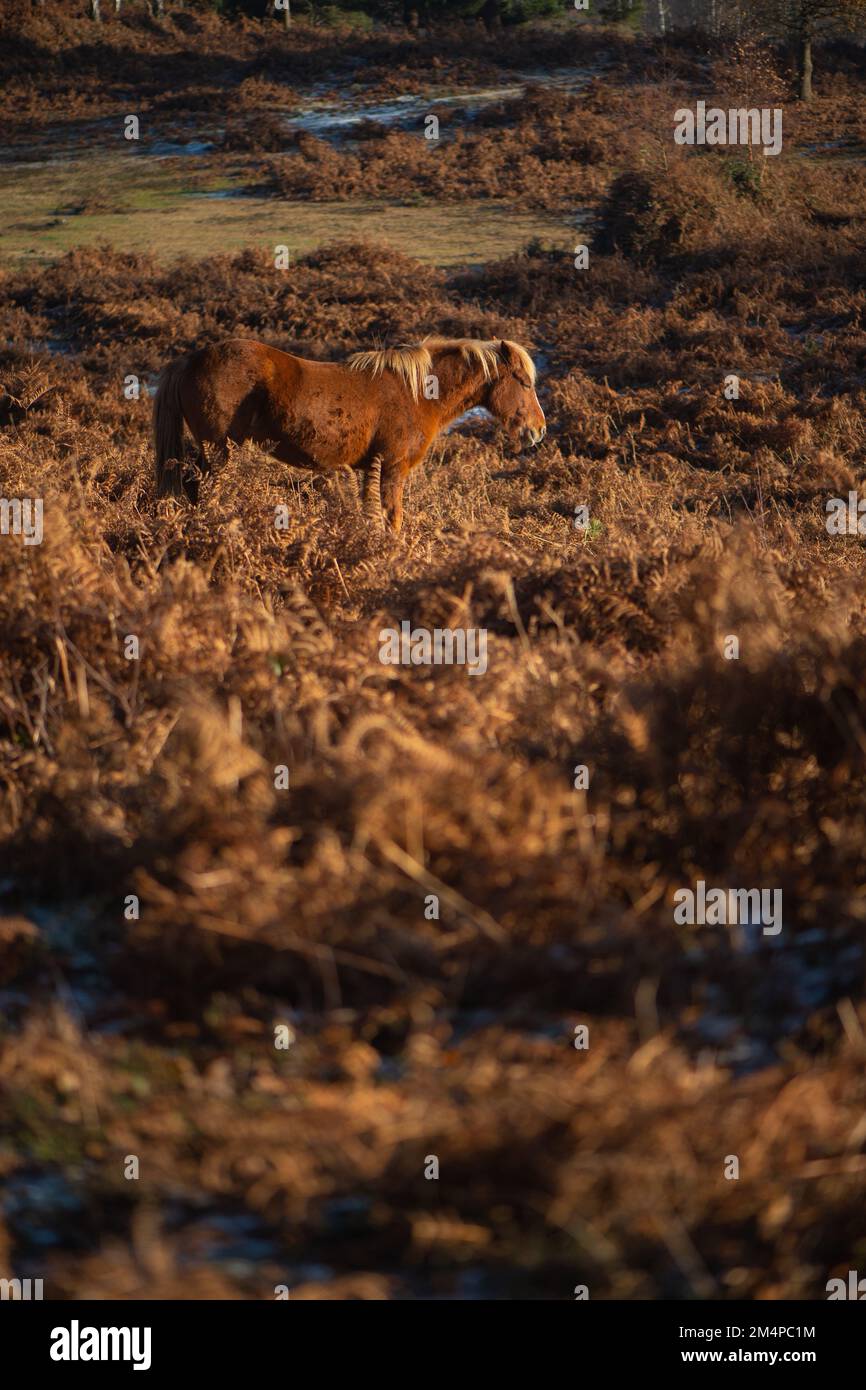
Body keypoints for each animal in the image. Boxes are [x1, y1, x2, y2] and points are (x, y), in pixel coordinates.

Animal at [152, 335, 546, 532]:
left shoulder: (368, 470)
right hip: (219, 454)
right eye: (524, 382)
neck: (417, 392)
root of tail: (191, 359)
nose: (538, 431)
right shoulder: (392, 469)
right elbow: (392, 518)